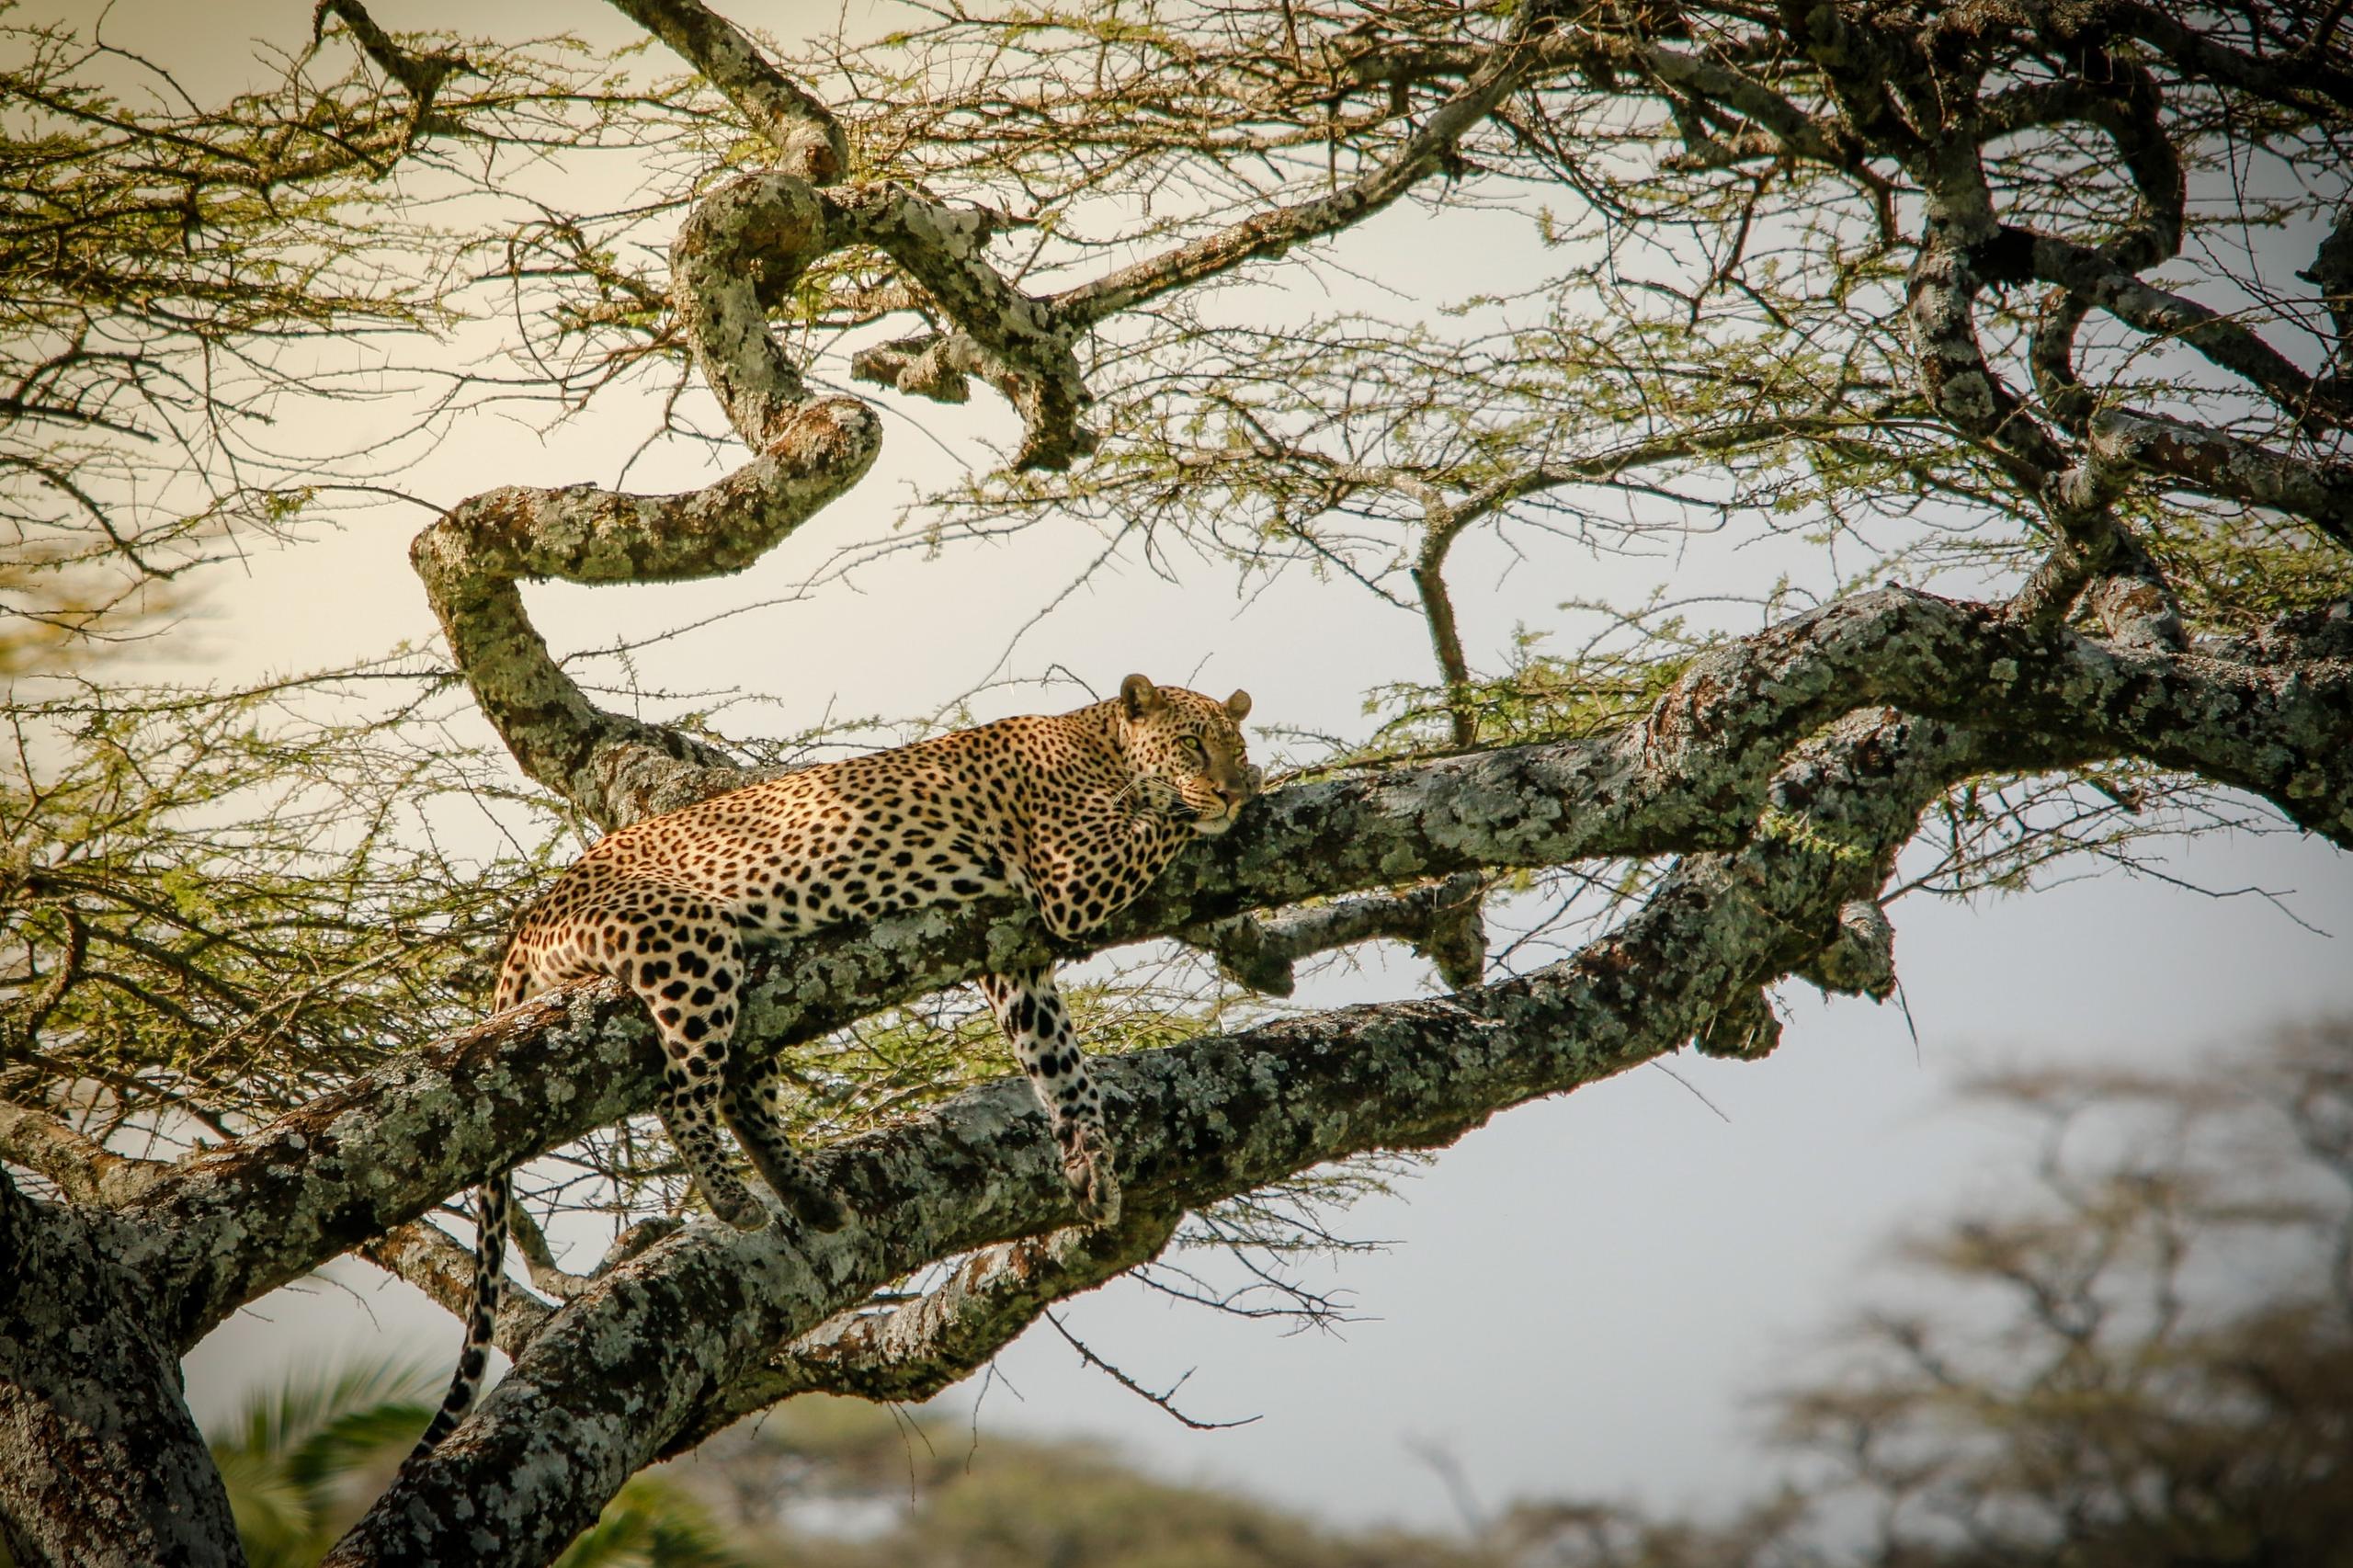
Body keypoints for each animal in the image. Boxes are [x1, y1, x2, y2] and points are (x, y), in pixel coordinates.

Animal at [411, 675, 1258, 1456]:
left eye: (1234, 745)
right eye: (1194, 746)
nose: (1235, 787)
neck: (1101, 743)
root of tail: (535, 909)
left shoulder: (1014, 957)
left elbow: (1061, 1065)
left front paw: (1090, 1163)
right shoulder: (1071, 876)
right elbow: (1162, 823)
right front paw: (1228, 799)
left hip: (757, 995)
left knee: (741, 1091)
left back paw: (808, 1197)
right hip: (688, 938)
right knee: (683, 1090)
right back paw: (734, 1200)